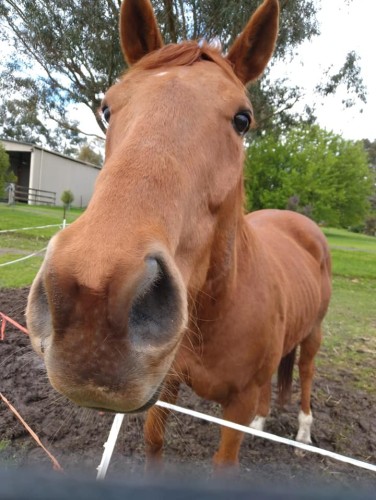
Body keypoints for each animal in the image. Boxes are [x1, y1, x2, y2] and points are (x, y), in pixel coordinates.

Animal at [27, 0, 332, 466]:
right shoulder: (166, 387)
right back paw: (264, 423)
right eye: (107, 109)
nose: (92, 296)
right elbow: (154, 444)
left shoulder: (235, 407)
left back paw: (302, 433)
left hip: (313, 336)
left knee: (307, 372)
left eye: (243, 119)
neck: (218, 307)